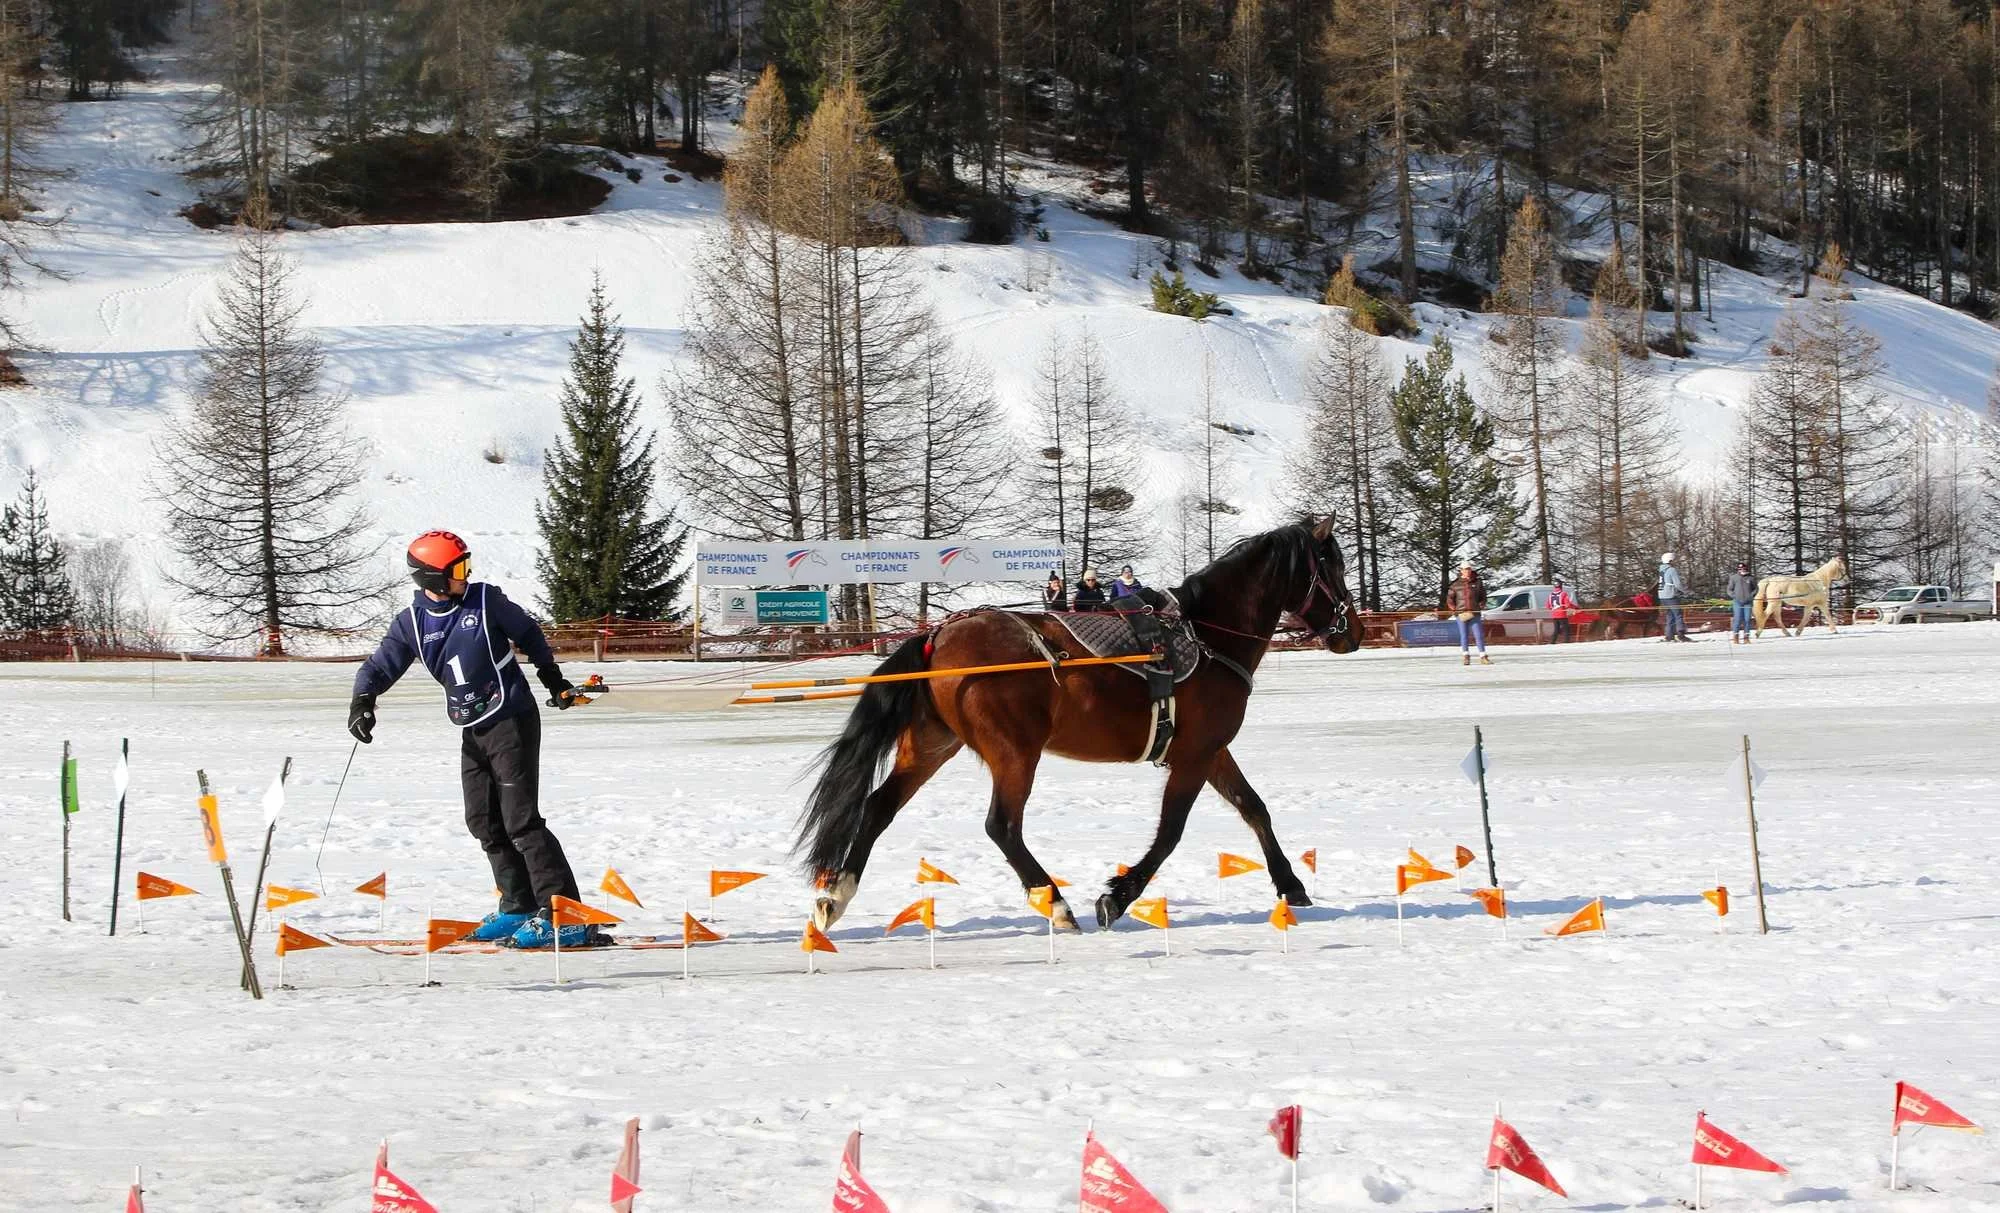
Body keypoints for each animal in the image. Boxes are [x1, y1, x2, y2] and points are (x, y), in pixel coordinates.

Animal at [795, 519, 1361, 934]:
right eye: (1332, 565)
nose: (1352, 632)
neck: (1206, 636)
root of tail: (939, 635)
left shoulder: (1212, 750)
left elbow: (1254, 808)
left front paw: (1290, 883)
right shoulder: (1195, 753)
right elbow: (1171, 831)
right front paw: (1119, 896)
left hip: (932, 744)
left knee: (877, 808)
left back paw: (836, 895)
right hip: (1015, 752)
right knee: (1002, 826)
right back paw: (1054, 903)